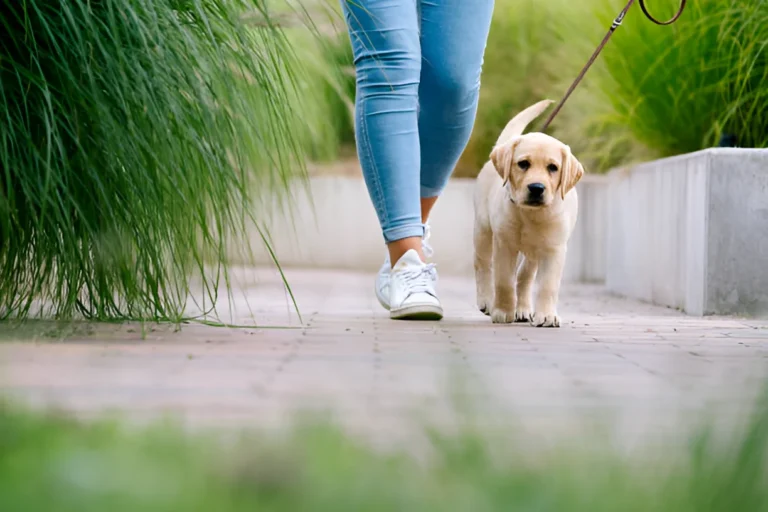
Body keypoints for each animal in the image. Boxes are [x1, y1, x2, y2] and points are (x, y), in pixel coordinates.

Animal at [472, 100, 584, 328]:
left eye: (553, 167)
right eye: (523, 164)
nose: (536, 188)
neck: (531, 215)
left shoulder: (554, 249)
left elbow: (547, 286)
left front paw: (547, 316)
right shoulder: (504, 244)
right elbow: (504, 281)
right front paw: (503, 311)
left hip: (533, 254)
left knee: (524, 277)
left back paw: (522, 309)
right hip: (483, 229)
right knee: (483, 264)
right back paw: (487, 300)